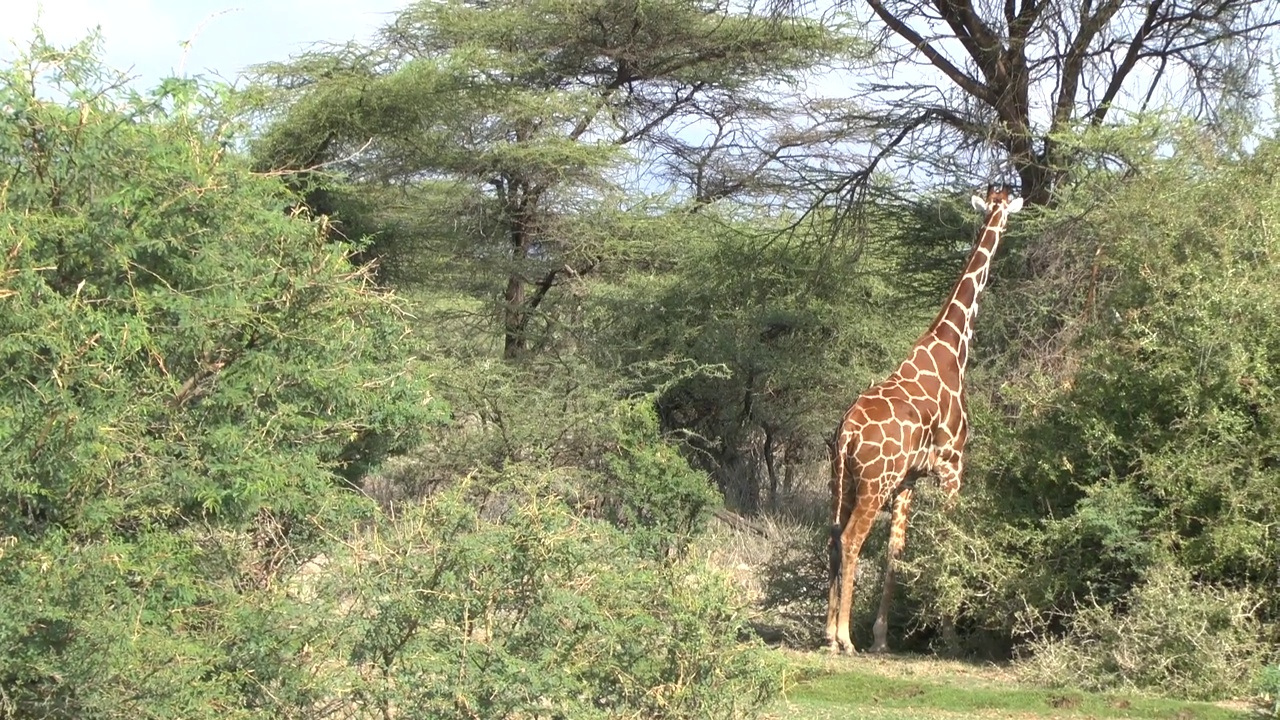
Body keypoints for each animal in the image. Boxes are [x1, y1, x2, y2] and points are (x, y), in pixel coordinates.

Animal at [824, 183, 1024, 650]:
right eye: (1006, 210)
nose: (1007, 226)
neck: (952, 348)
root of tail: (846, 434)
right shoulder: (952, 464)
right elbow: (948, 539)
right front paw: (949, 635)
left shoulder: (908, 480)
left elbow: (896, 553)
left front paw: (881, 637)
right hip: (873, 483)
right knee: (851, 539)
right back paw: (844, 638)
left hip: (842, 480)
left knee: (832, 538)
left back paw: (827, 633)